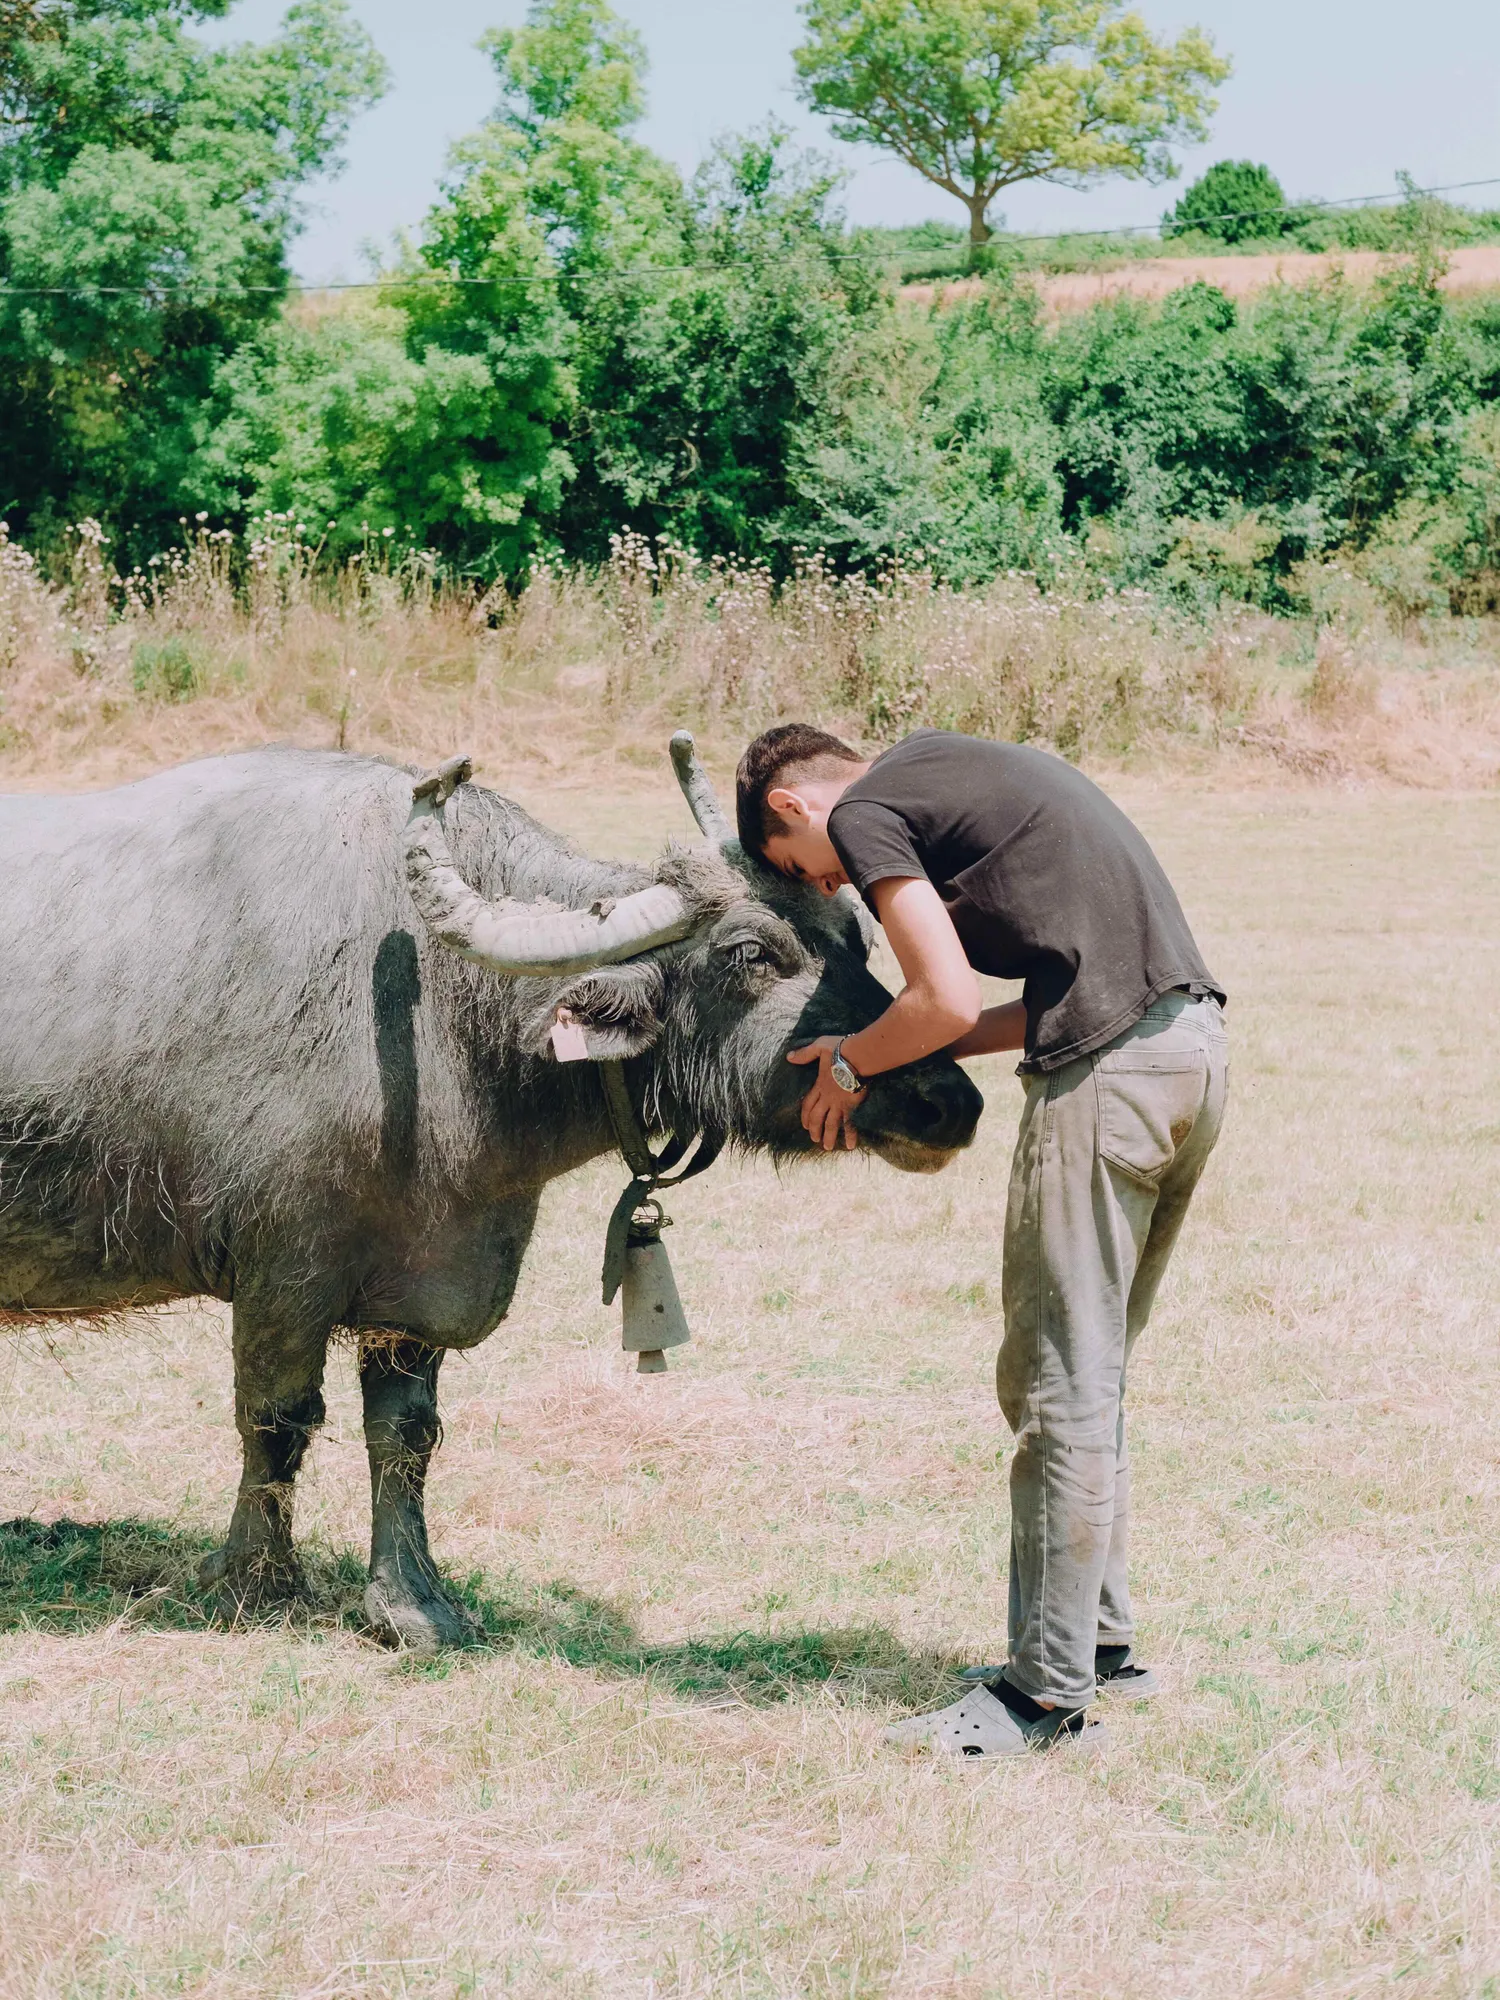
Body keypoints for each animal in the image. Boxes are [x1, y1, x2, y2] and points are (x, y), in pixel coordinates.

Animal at [0, 737, 981, 1649]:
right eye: (752, 954)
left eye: (857, 938)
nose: (949, 1101)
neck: (433, 1015)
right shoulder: (284, 1269)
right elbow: (276, 1420)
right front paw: (255, 1581)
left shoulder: (423, 1277)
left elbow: (405, 1435)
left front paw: (413, 1604)